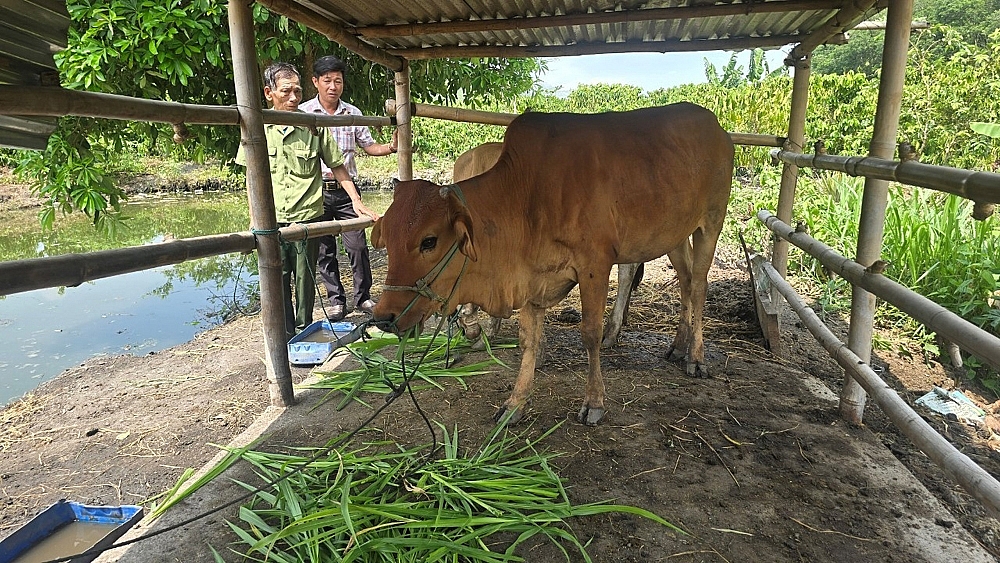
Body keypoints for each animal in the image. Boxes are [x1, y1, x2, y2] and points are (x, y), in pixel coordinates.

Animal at [372, 103, 732, 426]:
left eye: (429, 241)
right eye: (387, 239)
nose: (384, 317)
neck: (527, 194)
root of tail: (716, 126)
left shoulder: (595, 264)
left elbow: (589, 333)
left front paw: (594, 402)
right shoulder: (533, 275)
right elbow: (528, 339)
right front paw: (515, 404)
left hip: (710, 223)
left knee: (699, 285)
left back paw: (695, 357)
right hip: (674, 234)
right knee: (685, 280)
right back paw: (679, 345)